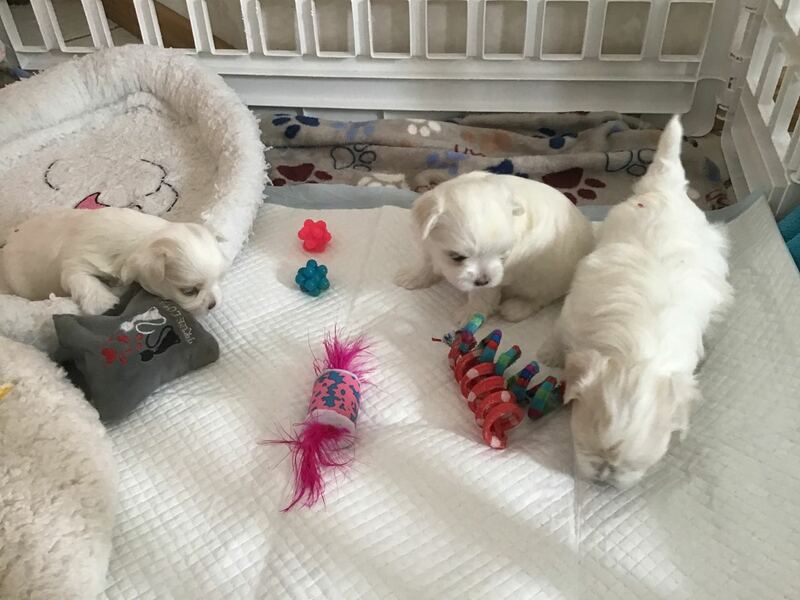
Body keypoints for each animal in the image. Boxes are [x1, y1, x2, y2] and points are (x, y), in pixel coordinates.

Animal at [1, 207, 225, 315]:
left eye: (217, 281)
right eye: (189, 291)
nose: (214, 304)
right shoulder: (77, 262)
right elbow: (83, 280)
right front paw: (103, 302)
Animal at [395, 172, 594, 323]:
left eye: (502, 255)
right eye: (457, 257)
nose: (483, 280)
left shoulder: (500, 276)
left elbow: (482, 295)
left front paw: (470, 315)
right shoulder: (428, 244)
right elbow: (426, 263)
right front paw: (412, 277)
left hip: (545, 279)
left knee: (540, 298)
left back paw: (516, 308)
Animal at [541, 116, 732, 488]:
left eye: (631, 466)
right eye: (586, 448)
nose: (604, 478)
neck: (636, 354)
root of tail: (666, 189)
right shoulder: (574, 315)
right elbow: (558, 334)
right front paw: (550, 356)